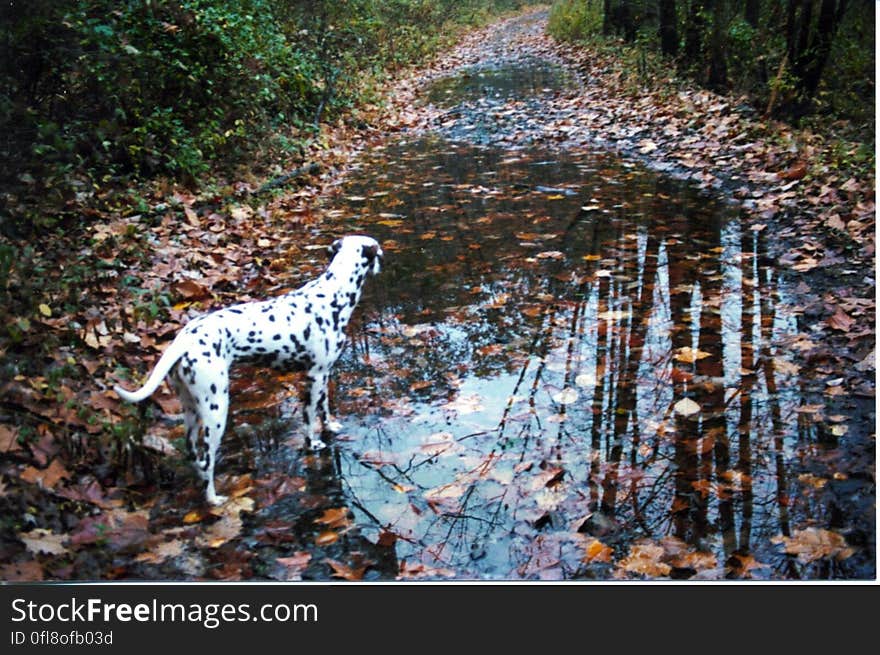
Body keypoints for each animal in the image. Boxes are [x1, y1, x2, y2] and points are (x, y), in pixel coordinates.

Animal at [113, 236, 382, 508]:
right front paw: (313, 443)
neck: (331, 295)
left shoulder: (323, 375)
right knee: (208, 460)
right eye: (378, 253)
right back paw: (214, 498)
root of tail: (185, 338)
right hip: (216, 411)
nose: (381, 263)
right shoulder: (315, 377)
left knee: (193, 452)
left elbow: (323, 408)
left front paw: (330, 426)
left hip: (191, 410)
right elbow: (309, 419)